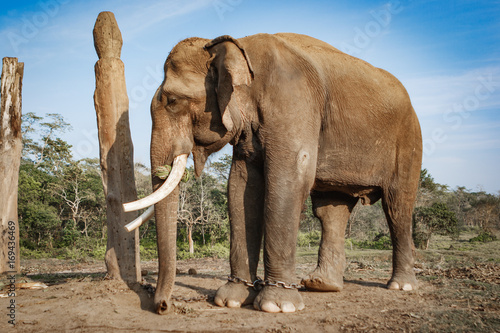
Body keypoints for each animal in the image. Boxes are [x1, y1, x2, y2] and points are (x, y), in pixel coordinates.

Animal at [124, 33, 422, 314]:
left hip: (409, 140)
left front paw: (277, 305)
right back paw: (321, 285)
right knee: (330, 210)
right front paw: (231, 300)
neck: (239, 46)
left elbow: (288, 178)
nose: (163, 306)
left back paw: (401, 285)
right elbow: (241, 186)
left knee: (397, 207)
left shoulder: (293, 101)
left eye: (173, 101)